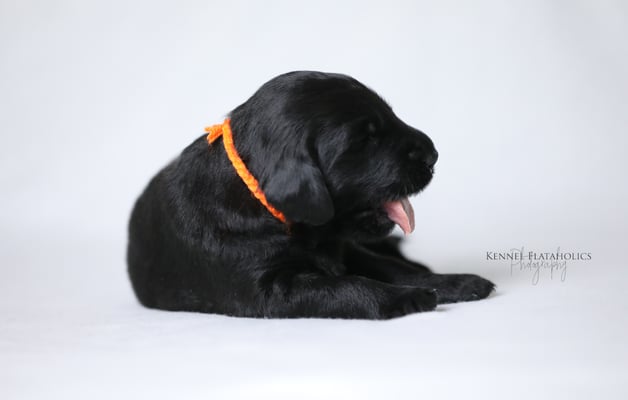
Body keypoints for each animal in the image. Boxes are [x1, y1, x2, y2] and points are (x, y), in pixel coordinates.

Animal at [127, 71, 494, 319]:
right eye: (366, 139)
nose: (433, 154)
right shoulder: (270, 288)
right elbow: (347, 286)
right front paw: (409, 298)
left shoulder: (348, 250)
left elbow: (393, 268)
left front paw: (457, 283)